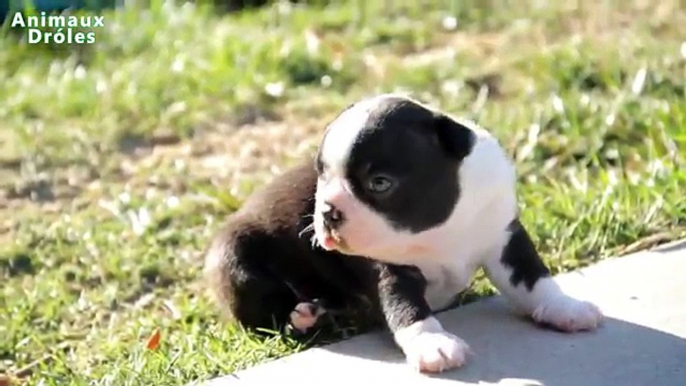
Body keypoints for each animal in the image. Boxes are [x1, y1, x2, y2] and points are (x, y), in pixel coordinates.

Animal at [207, 94, 604, 374]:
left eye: (379, 183)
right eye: (322, 175)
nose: (328, 211)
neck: (440, 227)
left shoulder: (506, 237)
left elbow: (534, 278)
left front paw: (564, 308)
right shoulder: (390, 269)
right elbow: (406, 308)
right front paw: (433, 343)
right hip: (233, 258)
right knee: (269, 318)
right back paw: (304, 317)